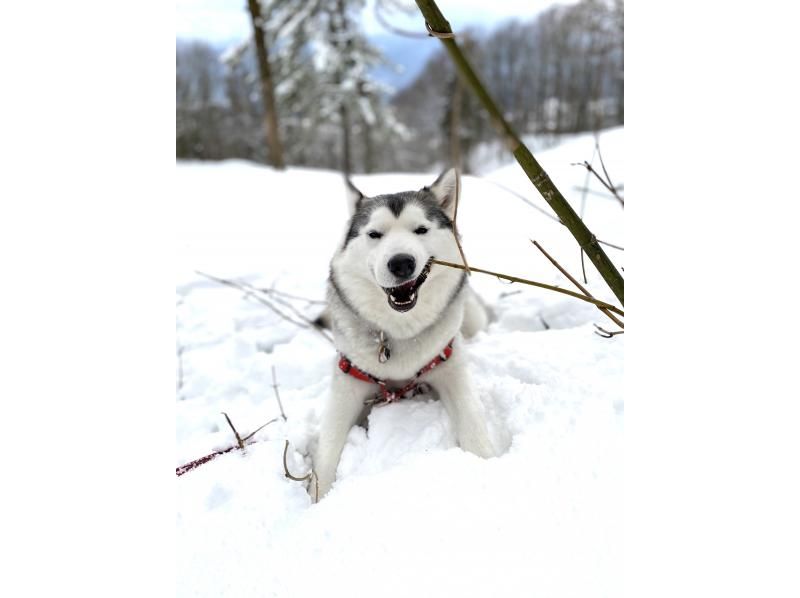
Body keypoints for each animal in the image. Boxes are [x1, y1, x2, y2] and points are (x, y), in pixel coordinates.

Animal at [314, 170, 494, 502]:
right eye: (374, 234)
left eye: (420, 229)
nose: (401, 262)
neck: (399, 331)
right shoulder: (348, 379)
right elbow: (327, 451)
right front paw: (316, 499)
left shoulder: (449, 364)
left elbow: (473, 423)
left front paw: (488, 464)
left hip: (473, 317)